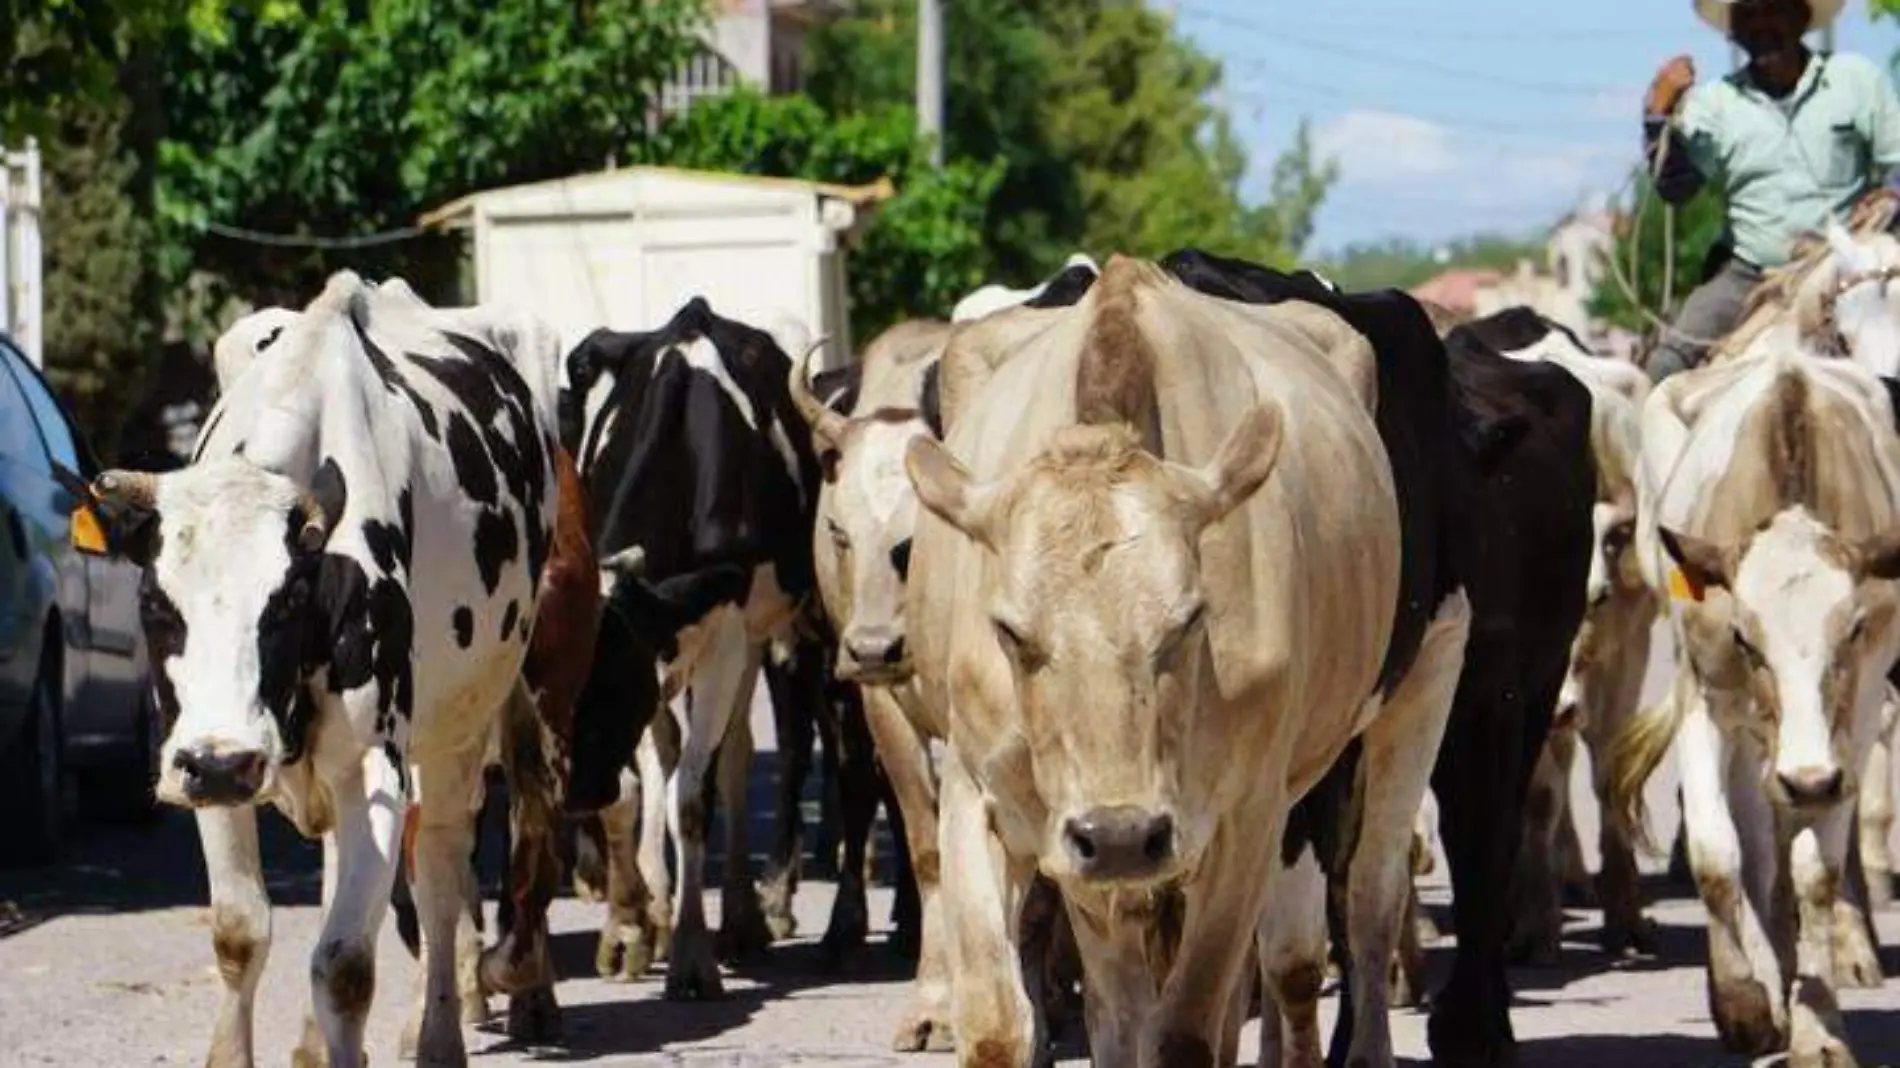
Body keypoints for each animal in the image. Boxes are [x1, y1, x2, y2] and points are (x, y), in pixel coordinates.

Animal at [76, 273, 562, 1064]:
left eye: (287, 600)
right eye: (153, 601)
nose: (220, 765)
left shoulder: (374, 764)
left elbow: (345, 964)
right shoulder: (207, 759)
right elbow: (239, 933)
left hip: (461, 725)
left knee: (439, 872)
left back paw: (437, 1035)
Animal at [1444, 304, 1656, 961]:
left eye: (1602, 597)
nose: (1564, 707)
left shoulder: (1626, 649)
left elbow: (1609, 770)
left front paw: (1625, 912)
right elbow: (1537, 796)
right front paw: (1535, 922)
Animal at [1603, 351, 1900, 1064]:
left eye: (1853, 629)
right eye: (1744, 636)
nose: (1810, 780)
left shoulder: (1855, 716)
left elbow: (1815, 871)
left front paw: (1818, 1029)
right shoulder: (1705, 699)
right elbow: (1718, 855)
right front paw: (1741, 1005)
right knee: (1755, 844)